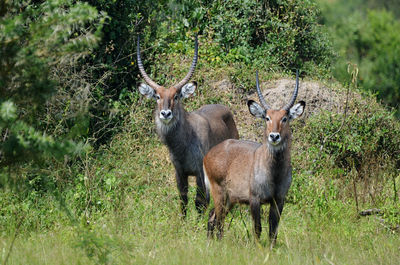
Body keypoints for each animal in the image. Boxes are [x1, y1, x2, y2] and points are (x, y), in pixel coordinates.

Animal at [136, 35, 239, 216]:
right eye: (157, 96)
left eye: (176, 96)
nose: (165, 114)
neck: (181, 144)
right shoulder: (179, 172)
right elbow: (183, 200)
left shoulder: (199, 172)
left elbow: (199, 202)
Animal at [205, 69, 304, 242]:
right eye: (267, 117)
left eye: (284, 118)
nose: (274, 136)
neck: (275, 174)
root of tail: (209, 154)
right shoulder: (255, 199)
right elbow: (257, 228)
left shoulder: (279, 200)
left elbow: (273, 231)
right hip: (219, 193)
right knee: (218, 221)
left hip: (230, 199)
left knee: (213, 218)